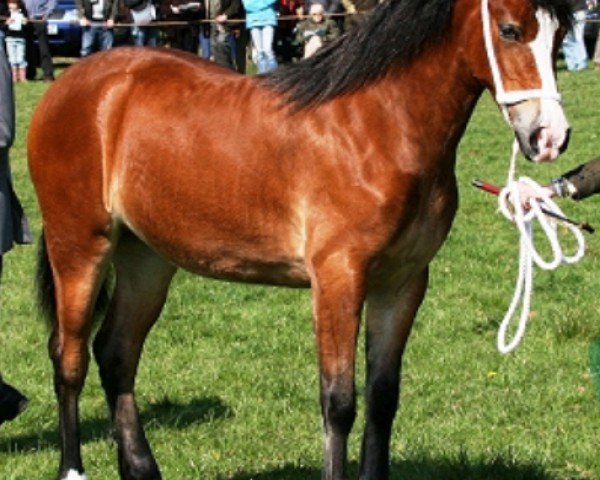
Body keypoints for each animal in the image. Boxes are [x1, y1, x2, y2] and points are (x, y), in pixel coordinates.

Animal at [27, 0, 572, 480]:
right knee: (69, 357)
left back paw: (141, 468)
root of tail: (73, 84)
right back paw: (72, 468)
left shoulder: (402, 282)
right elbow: (339, 403)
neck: (378, 127)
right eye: (509, 30)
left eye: (561, 33)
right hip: (80, 246)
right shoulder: (338, 278)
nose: (550, 137)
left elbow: (382, 397)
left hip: (146, 258)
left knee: (116, 354)